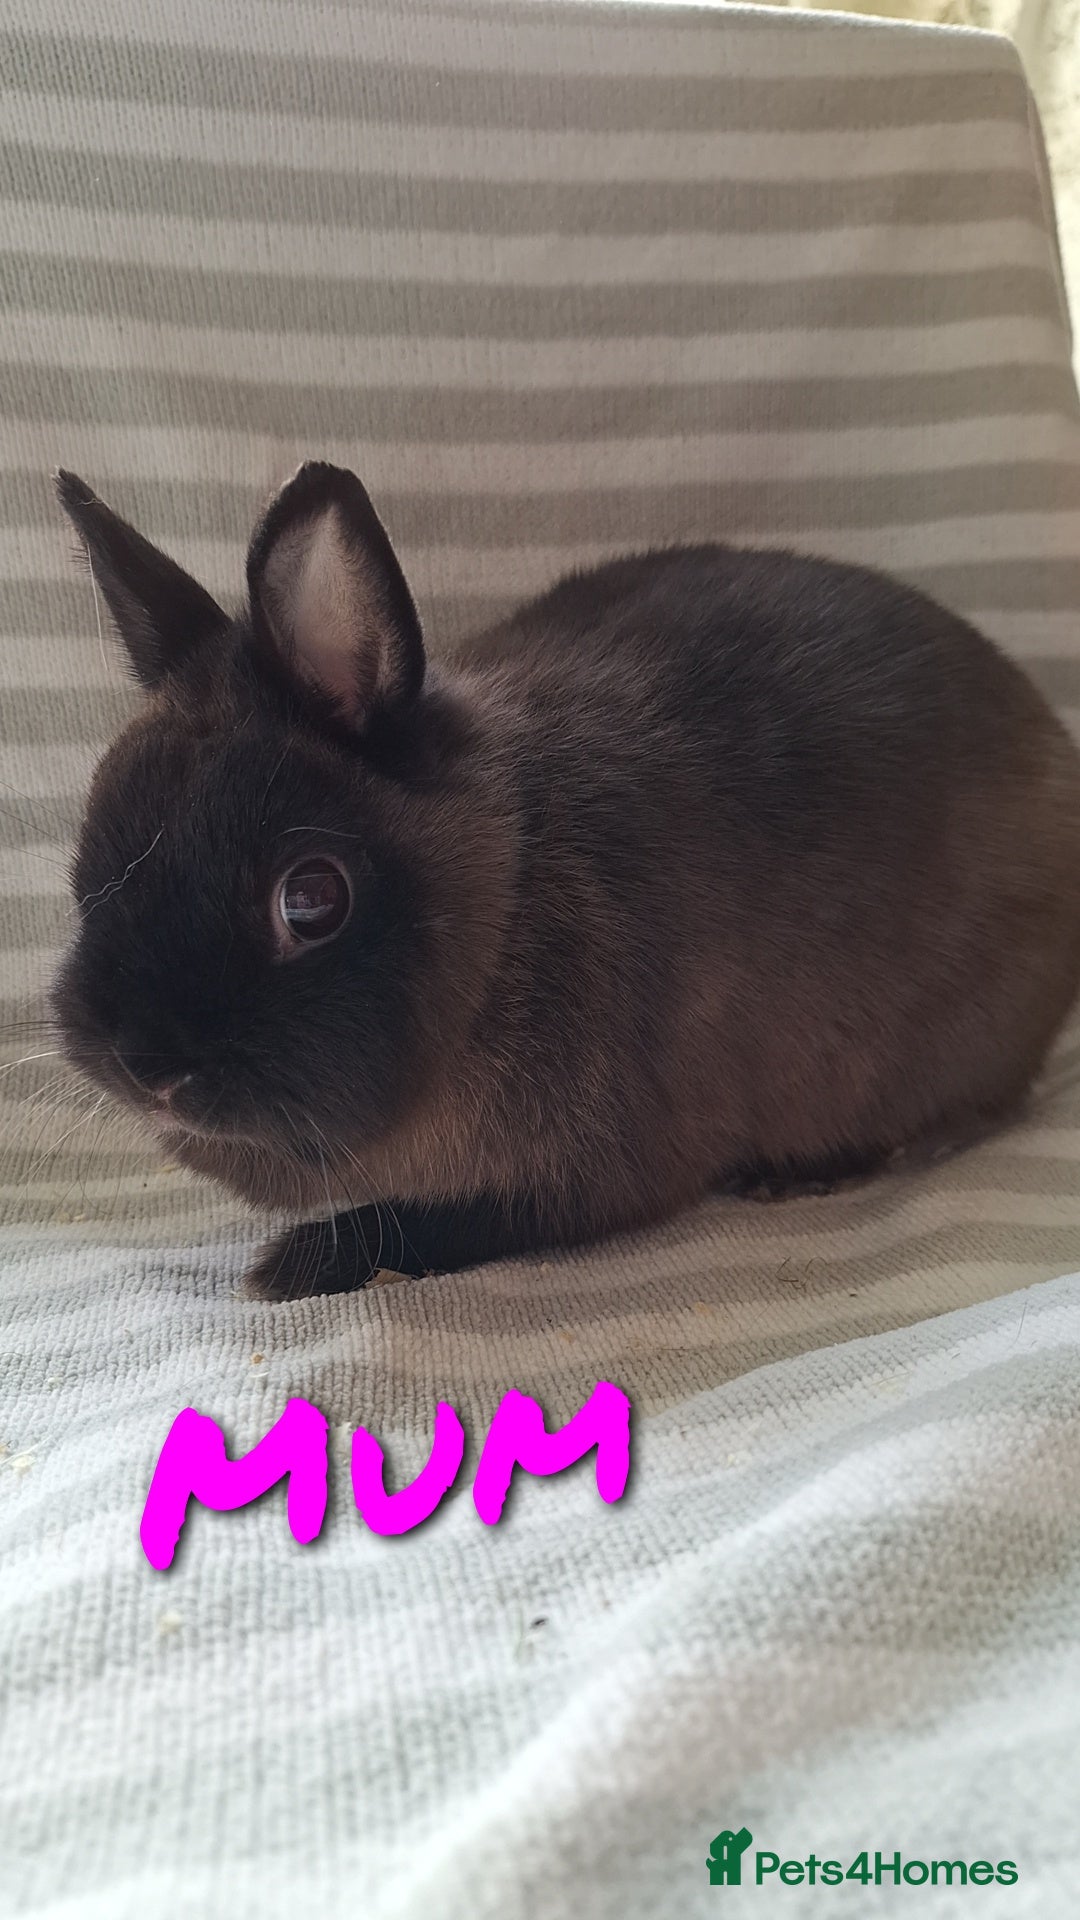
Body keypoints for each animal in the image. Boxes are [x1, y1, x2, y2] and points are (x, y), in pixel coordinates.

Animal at [50, 461, 1080, 1301]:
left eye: (311, 899)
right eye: (88, 859)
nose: (148, 1069)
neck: (505, 889)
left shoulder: (594, 1176)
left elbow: (441, 1228)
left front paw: (293, 1266)